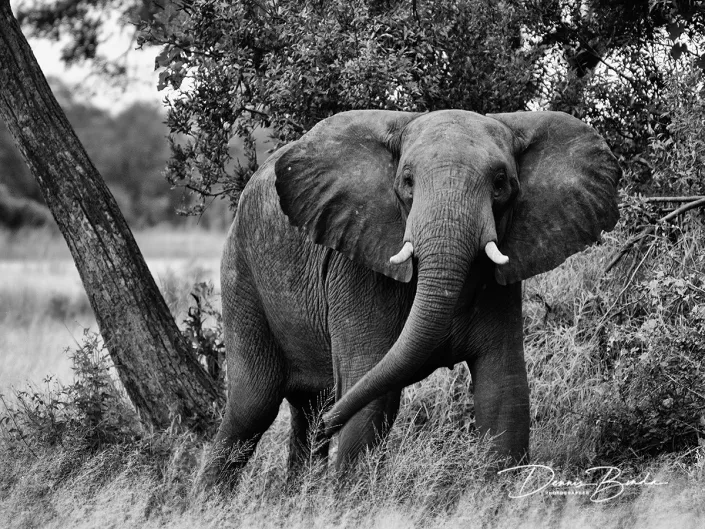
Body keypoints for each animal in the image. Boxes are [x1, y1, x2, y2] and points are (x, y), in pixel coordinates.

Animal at [204, 109, 620, 485]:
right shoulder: (357, 268)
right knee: (252, 407)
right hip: (242, 272)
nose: (331, 424)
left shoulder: (499, 283)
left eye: (501, 183)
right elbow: (370, 402)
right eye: (406, 181)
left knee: (307, 412)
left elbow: (503, 391)